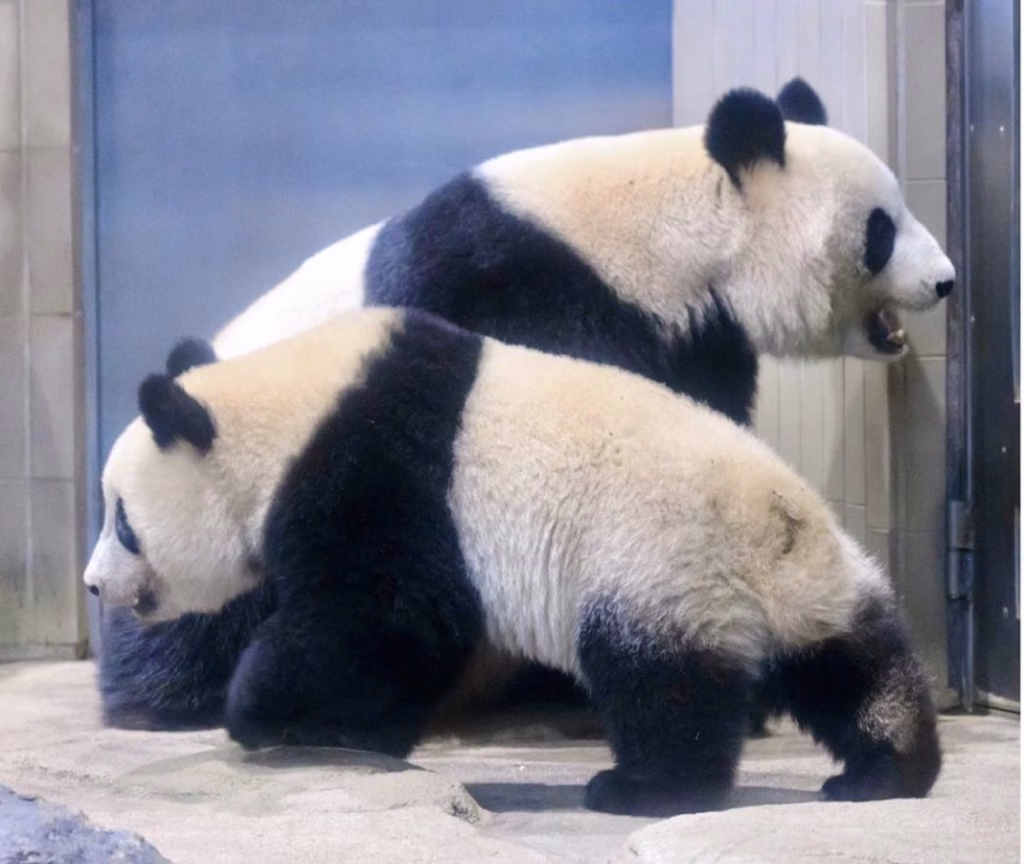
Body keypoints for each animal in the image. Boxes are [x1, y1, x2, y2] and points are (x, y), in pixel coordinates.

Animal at [84, 308, 941, 816]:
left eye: (122, 520)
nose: (95, 585)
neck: (283, 416)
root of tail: (774, 522)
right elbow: (410, 641)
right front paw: (355, 733)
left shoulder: (375, 470)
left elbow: (371, 618)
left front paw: (262, 711)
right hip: (803, 584)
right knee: (848, 662)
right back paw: (886, 770)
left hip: (658, 566)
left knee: (663, 684)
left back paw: (642, 787)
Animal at [97, 77, 955, 731]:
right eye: (881, 229)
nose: (946, 280)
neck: (667, 227)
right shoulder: (518, 284)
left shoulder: (693, 338)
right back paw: (180, 697)